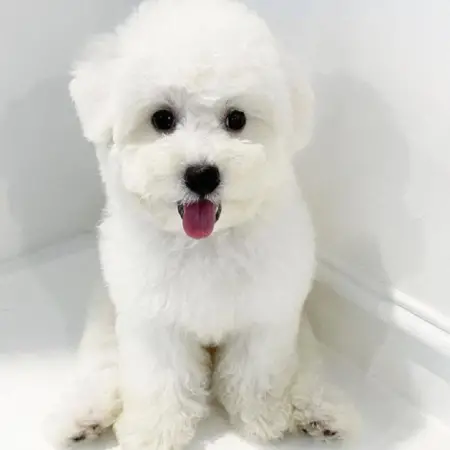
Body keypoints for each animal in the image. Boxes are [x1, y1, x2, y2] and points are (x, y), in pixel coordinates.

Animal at [47, 0, 354, 450]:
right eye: (161, 118)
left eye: (237, 119)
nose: (202, 175)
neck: (206, 243)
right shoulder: (154, 320)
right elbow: (161, 380)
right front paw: (155, 432)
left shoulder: (267, 312)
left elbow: (256, 370)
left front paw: (260, 417)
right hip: (109, 312)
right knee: (103, 360)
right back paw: (84, 415)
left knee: (308, 362)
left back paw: (321, 411)